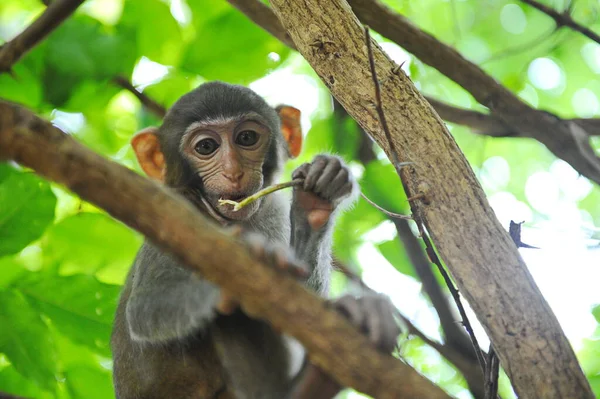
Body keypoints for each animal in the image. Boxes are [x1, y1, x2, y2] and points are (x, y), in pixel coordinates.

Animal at [110, 82, 400, 399]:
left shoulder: (272, 210)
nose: (233, 172)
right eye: (206, 147)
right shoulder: (172, 209)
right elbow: (145, 308)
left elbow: (304, 313)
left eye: (246, 138)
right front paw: (233, 280)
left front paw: (315, 201)